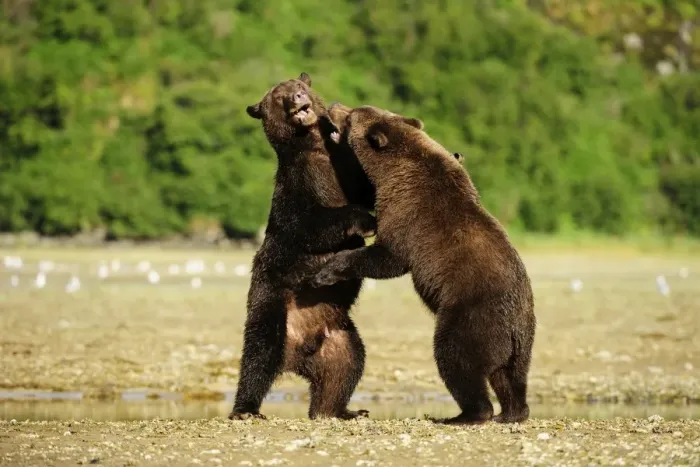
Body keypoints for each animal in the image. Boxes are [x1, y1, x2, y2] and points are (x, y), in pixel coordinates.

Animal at [228, 74, 376, 421]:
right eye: (277, 96)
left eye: (299, 85)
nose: (296, 96)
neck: (316, 147)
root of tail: (297, 356)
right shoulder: (297, 187)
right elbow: (307, 224)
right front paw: (363, 220)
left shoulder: (345, 169)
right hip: (272, 305)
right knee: (259, 355)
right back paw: (246, 409)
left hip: (338, 335)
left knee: (347, 365)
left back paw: (341, 410)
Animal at [312, 103, 536, 425]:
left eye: (352, 115)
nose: (333, 106)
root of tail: (515, 325)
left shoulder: (408, 212)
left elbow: (389, 258)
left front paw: (327, 270)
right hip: (521, 340)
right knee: (509, 376)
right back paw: (511, 412)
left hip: (472, 315)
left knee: (456, 358)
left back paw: (464, 414)